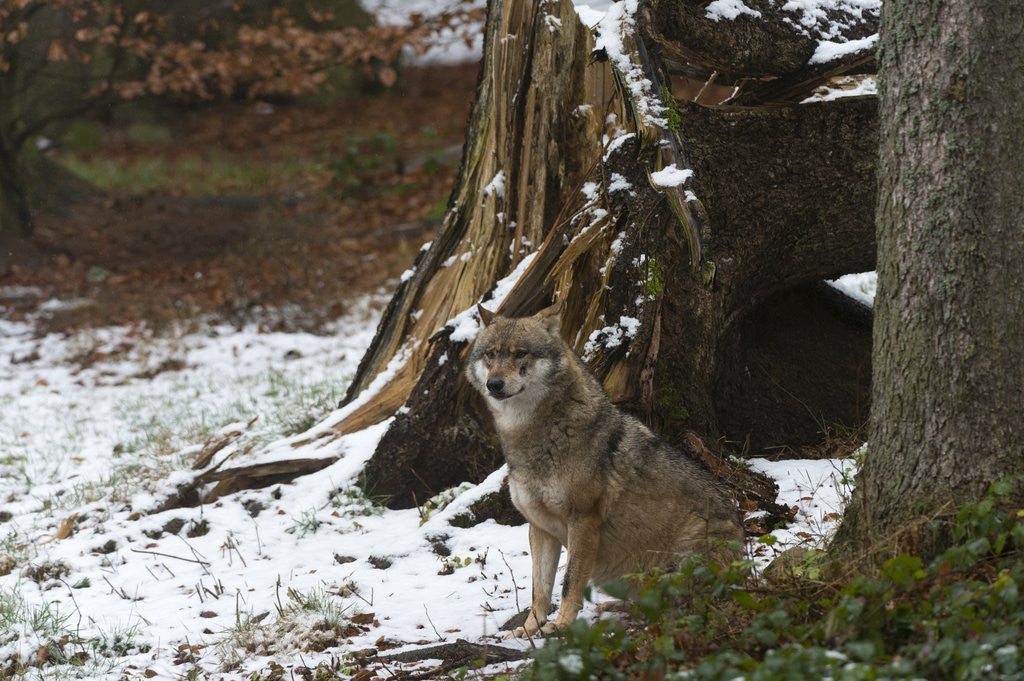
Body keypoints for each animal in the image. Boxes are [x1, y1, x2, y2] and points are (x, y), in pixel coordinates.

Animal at [465, 303, 744, 637]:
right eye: (491, 355)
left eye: (521, 353)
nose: (494, 384)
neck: (533, 438)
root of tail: (745, 558)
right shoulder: (539, 527)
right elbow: (539, 590)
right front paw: (531, 629)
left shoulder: (584, 519)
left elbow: (569, 582)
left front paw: (561, 625)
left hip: (683, 556)